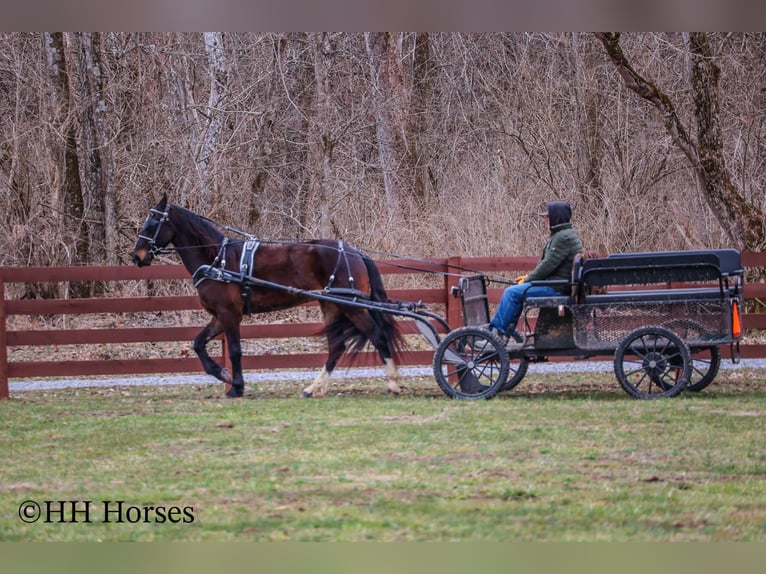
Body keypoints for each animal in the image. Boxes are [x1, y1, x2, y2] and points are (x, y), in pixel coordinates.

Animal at [131, 193, 405, 398]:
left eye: (152, 223)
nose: (137, 256)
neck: (217, 259)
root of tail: (354, 251)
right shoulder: (219, 316)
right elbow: (198, 343)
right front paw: (222, 374)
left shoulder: (229, 314)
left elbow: (235, 350)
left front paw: (236, 387)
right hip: (332, 306)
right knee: (336, 347)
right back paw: (314, 388)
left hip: (352, 307)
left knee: (377, 336)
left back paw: (392, 384)